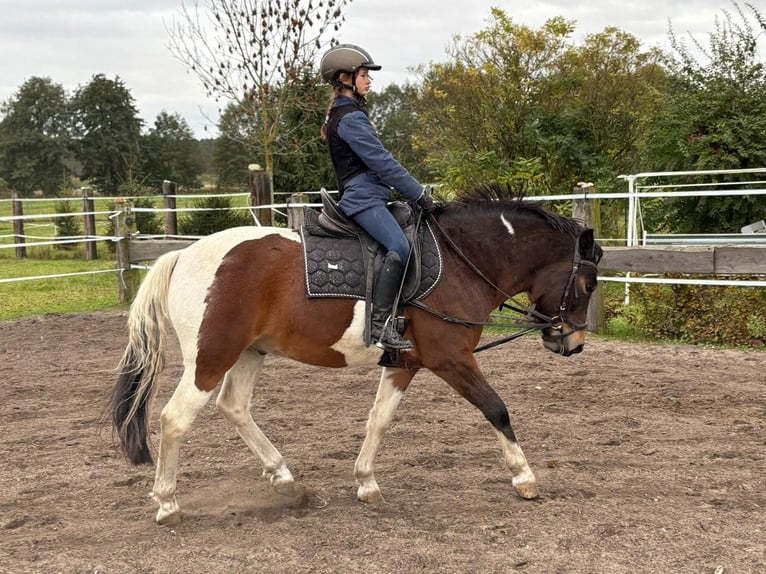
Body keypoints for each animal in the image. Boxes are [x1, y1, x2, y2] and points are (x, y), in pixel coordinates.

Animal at [110, 183, 602, 524]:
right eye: (587, 284)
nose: (572, 343)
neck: (461, 261)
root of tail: (183, 255)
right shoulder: (452, 359)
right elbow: (496, 408)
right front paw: (524, 477)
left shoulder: (406, 364)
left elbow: (379, 420)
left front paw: (366, 482)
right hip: (211, 358)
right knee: (175, 419)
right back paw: (167, 503)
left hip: (249, 353)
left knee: (234, 406)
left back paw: (282, 476)